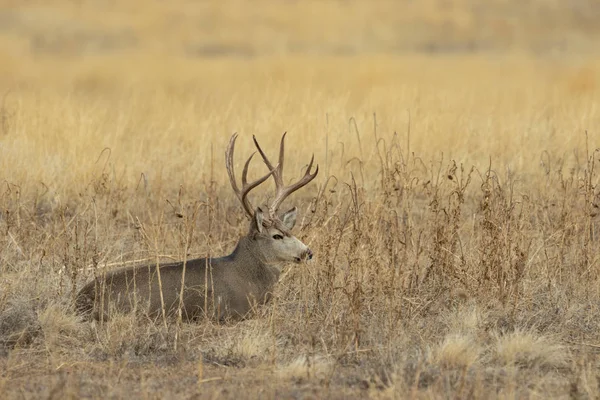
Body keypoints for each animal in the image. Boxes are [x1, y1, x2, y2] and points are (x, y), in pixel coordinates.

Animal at [75, 134, 318, 322]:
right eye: (277, 236)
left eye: (290, 231)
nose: (308, 252)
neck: (247, 275)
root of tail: (80, 298)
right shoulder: (227, 311)